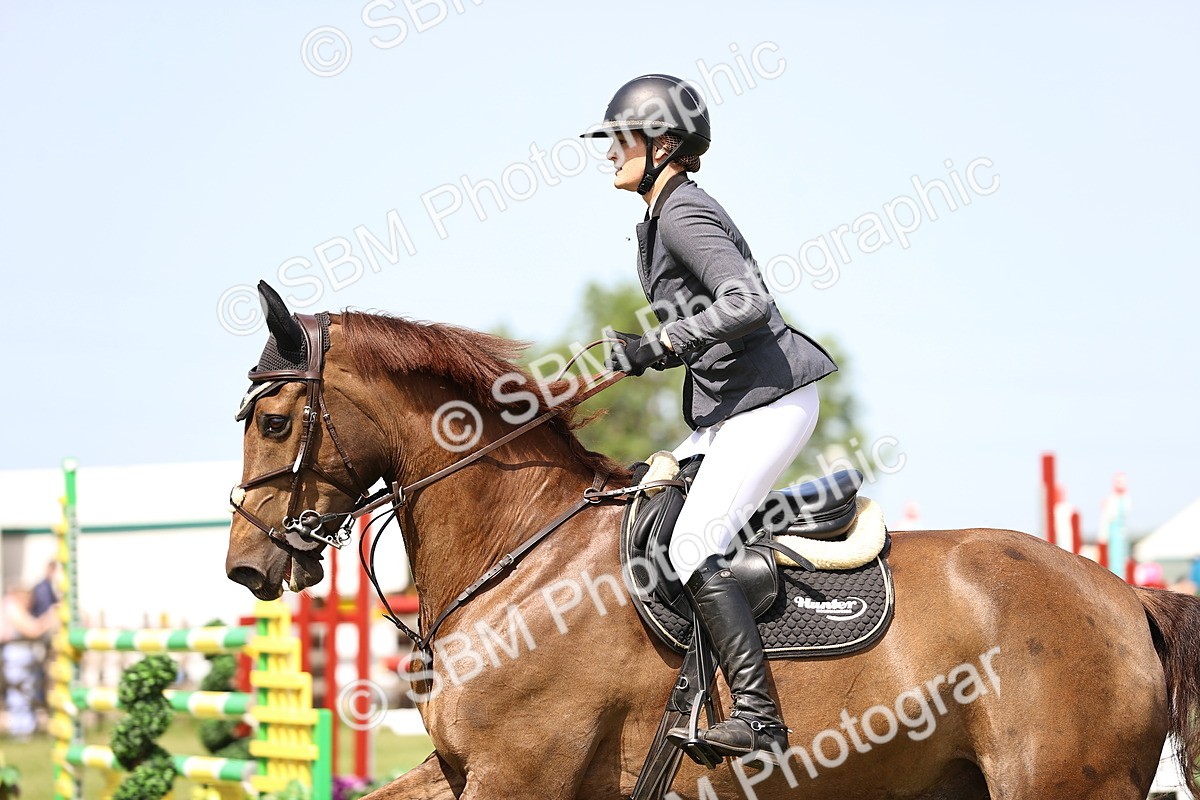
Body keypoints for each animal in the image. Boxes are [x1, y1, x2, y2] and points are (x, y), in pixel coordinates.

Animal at [225, 291, 1200, 800]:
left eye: (273, 422)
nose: (247, 565)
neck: (519, 556)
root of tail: (1126, 594)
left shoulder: (519, 773)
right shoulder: (462, 770)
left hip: (1061, 786)